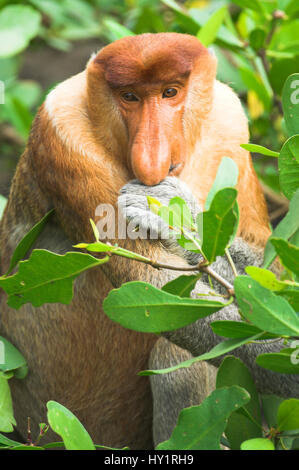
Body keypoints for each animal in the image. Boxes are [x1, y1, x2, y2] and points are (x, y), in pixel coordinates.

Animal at [0, 34, 296, 448]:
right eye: (129, 97)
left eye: (170, 92)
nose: (150, 159)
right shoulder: (67, 139)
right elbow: (153, 285)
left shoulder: (229, 123)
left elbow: (272, 270)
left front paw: (178, 213)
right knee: (176, 348)